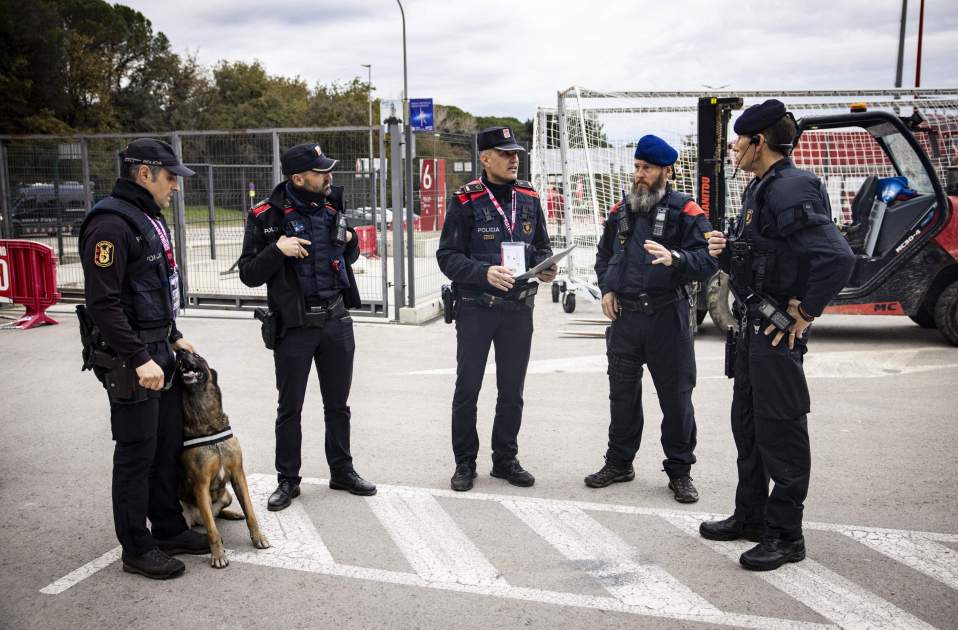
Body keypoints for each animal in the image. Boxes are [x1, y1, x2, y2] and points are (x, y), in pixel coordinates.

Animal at [173, 350, 268, 568]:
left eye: (196, 355)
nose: (179, 351)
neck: (207, 422)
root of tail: (196, 519)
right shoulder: (200, 484)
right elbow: (212, 530)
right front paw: (217, 554)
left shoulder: (238, 475)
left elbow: (250, 512)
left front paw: (258, 536)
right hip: (184, 508)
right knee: (208, 520)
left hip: (227, 495)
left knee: (218, 514)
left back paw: (233, 513)